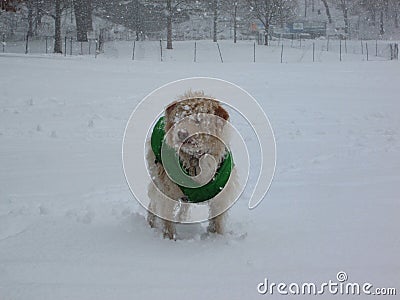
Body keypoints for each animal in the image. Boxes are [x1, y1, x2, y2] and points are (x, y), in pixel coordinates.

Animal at [145, 90, 236, 240]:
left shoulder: (221, 194)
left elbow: (217, 221)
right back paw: (150, 224)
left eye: (198, 119)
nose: (181, 133)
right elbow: (167, 217)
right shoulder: (167, 190)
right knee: (153, 204)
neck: (195, 159)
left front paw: (217, 238)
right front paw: (169, 238)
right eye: (179, 117)